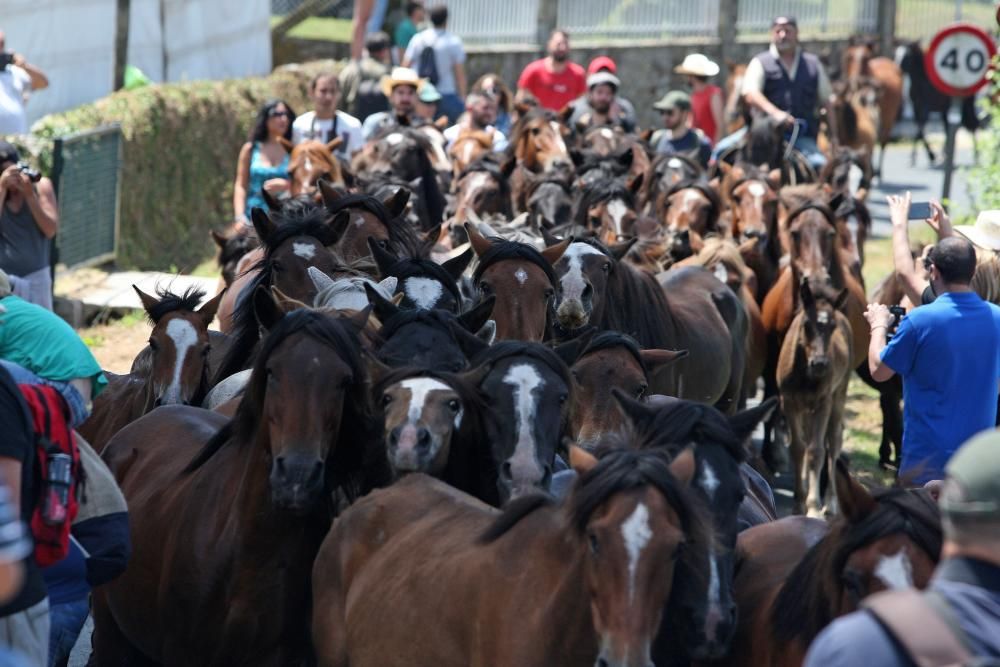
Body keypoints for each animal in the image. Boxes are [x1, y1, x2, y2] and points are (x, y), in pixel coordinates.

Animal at [780, 282, 852, 516]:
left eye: (832, 326)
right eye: (806, 324)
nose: (820, 364)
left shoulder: (823, 403)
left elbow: (816, 451)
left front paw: (812, 506)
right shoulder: (789, 402)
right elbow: (797, 448)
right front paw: (798, 501)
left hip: (838, 395)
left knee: (834, 441)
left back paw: (830, 502)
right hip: (805, 409)